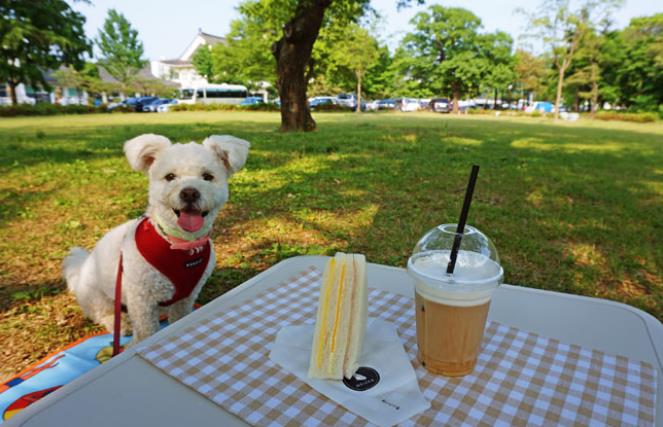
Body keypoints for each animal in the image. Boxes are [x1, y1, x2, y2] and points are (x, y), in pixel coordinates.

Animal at [63, 134, 250, 344]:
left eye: (208, 176)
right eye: (170, 177)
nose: (189, 192)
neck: (178, 245)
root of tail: (81, 267)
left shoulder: (187, 297)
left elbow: (179, 318)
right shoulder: (141, 300)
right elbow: (146, 332)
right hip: (97, 296)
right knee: (105, 314)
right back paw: (123, 325)